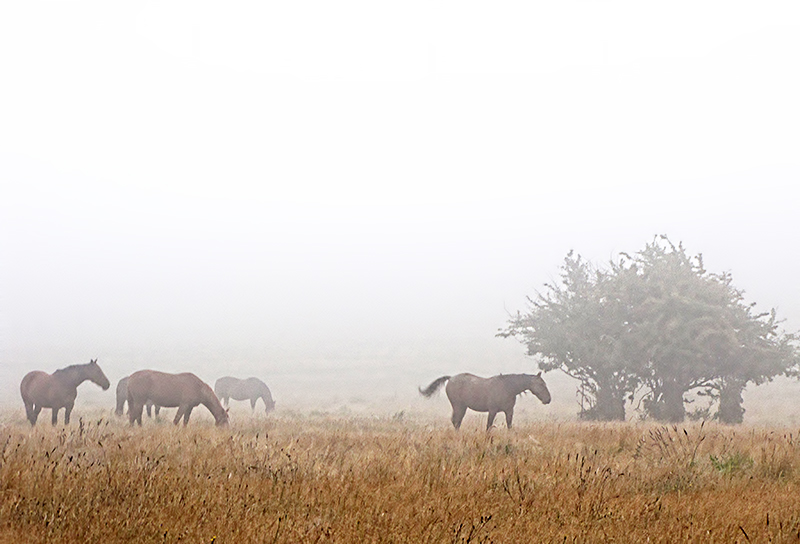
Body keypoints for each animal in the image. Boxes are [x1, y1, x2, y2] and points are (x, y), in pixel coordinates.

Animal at [418, 372, 552, 432]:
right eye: (541, 384)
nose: (548, 399)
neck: (507, 388)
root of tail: (451, 378)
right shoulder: (492, 411)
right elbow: (488, 426)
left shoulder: (509, 411)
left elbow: (509, 426)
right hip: (458, 406)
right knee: (456, 421)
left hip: (462, 407)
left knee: (456, 421)